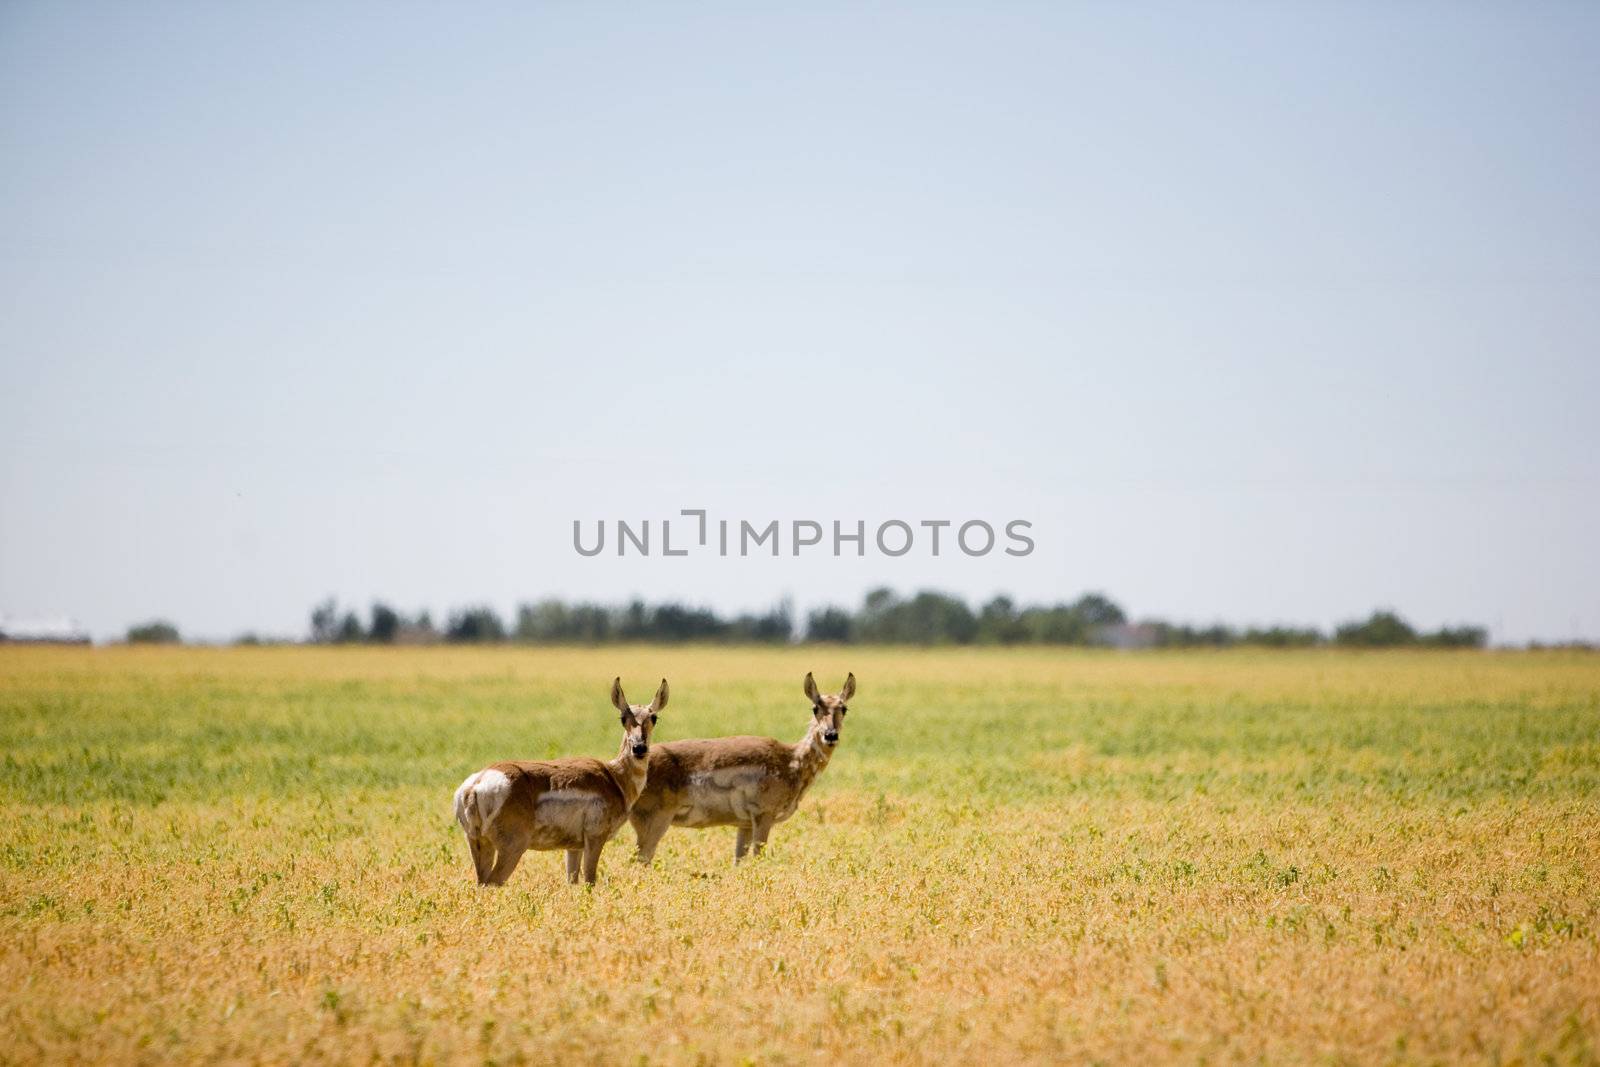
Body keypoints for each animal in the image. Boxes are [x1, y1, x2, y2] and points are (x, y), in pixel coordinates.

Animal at [454, 681, 665, 889]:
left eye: (653, 717)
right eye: (622, 718)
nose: (639, 748)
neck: (615, 777)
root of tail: (475, 785)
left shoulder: (574, 847)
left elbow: (572, 881)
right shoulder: (595, 837)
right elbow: (590, 881)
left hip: (478, 842)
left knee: (481, 883)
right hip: (513, 846)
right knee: (493, 882)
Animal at [627, 671, 857, 863]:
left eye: (844, 708)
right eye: (815, 707)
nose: (830, 735)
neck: (791, 761)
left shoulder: (744, 825)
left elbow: (738, 861)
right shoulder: (763, 816)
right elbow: (758, 858)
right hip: (655, 822)